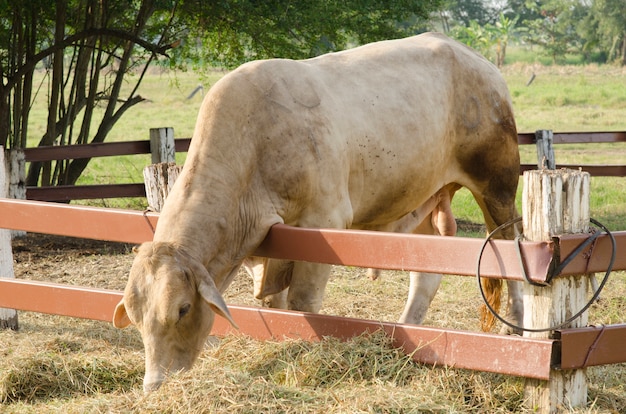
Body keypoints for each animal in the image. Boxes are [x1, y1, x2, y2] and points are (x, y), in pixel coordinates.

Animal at [113, 33, 520, 392]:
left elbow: (302, 302)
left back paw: (513, 327)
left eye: (182, 309)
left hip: (497, 184)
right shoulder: (266, 251)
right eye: (135, 316)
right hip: (421, 199)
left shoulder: (324, 221)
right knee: (426, 274)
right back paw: (410, 337)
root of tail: (478, 61)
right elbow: (273, 303)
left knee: (510, 250)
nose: (154, 384)